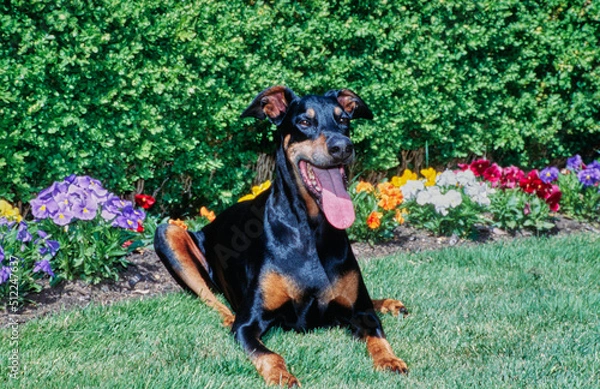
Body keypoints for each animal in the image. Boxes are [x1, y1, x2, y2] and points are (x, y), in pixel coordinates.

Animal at [154, 85, 408, 384]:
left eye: (344, 120)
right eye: (305, 122)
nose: (342, 147)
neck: (310, 230)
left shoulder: (360, 311)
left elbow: (377, 335)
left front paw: (390, 359)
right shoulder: (249, 323)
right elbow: (268, 353)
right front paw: (282, 375)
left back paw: (389, 304)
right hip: (168, 232)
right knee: (210, 296)